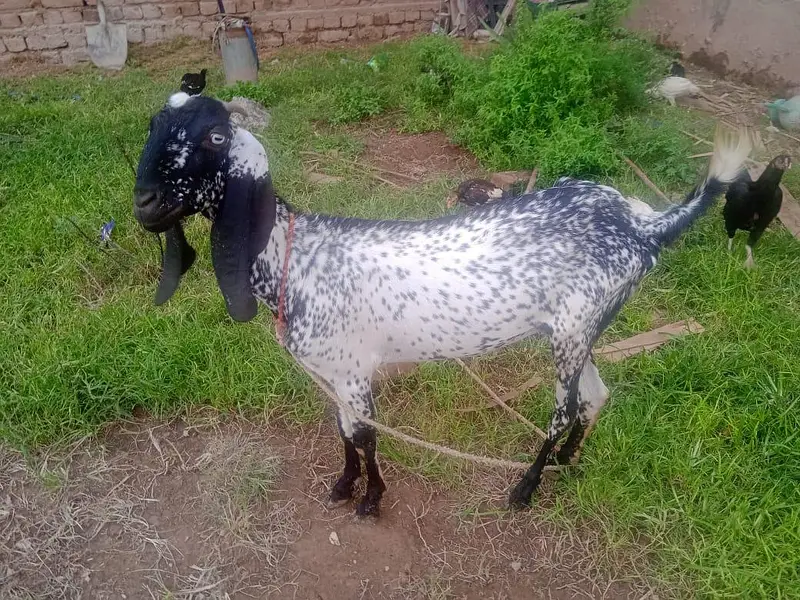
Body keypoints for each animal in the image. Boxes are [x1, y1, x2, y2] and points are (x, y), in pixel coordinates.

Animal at [133, 92, 752, 517]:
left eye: (214, 138)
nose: (145, 201)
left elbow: (365, 433)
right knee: (597, 397)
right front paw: (343, 487)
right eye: (154, 126)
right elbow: (345, 431)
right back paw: (565, 464)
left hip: (573, 331)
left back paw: (525, 487)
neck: (296, 256)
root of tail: (642, 227)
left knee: (566, 407)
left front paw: (371, 500)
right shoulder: (334, 373)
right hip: (585, 328)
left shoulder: (355, 369)